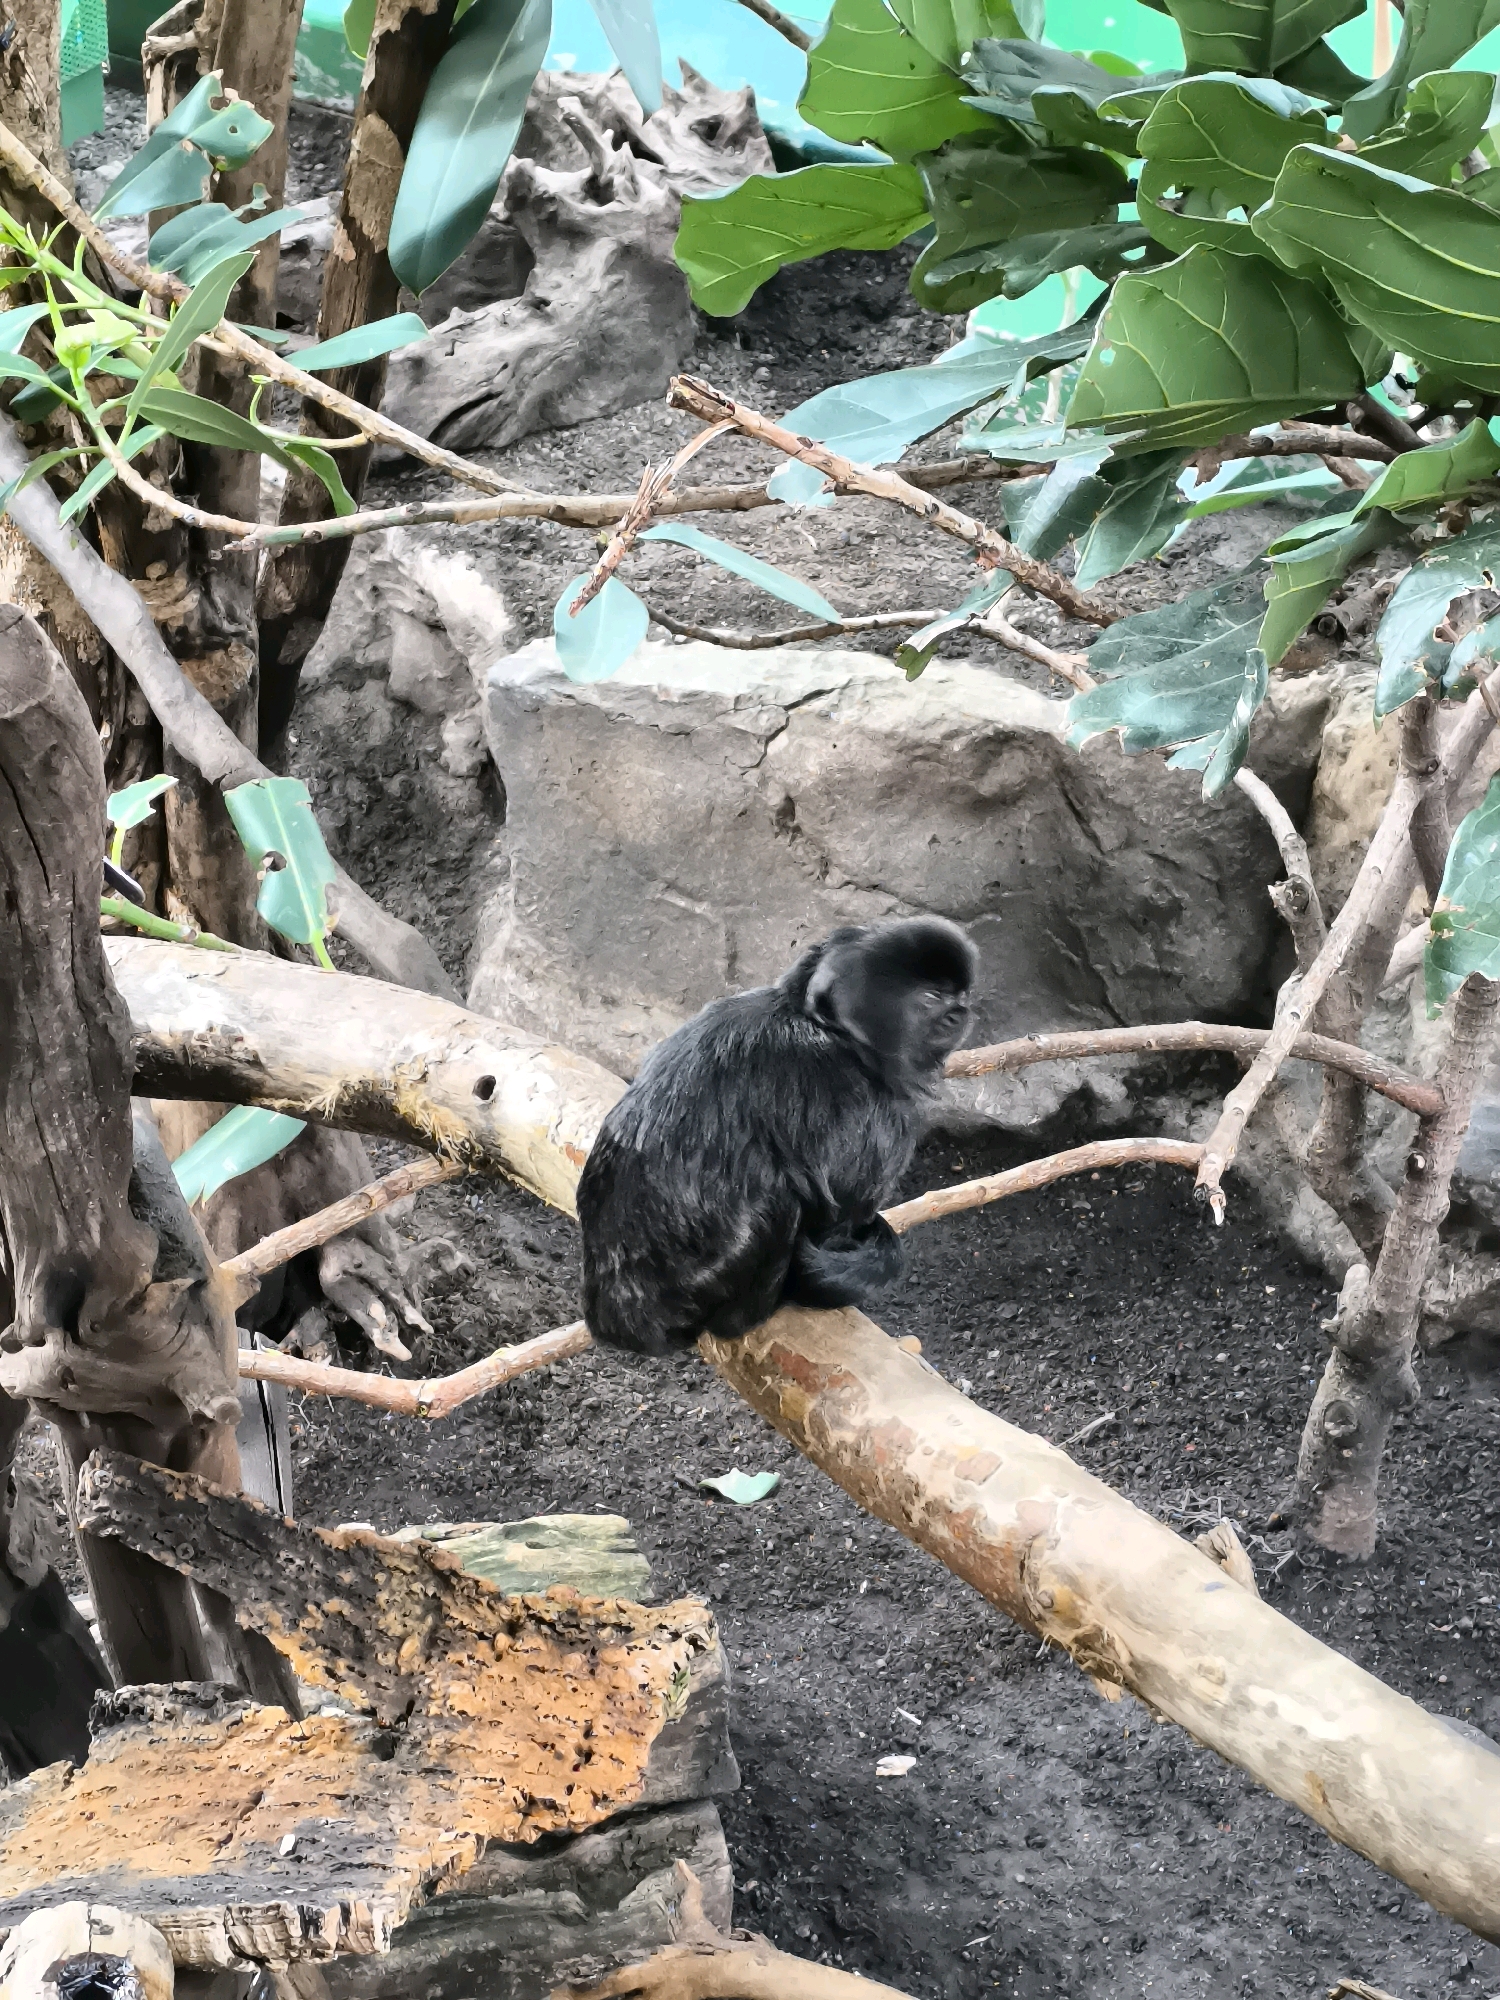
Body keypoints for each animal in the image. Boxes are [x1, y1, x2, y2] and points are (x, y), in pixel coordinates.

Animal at [576, 916, 977, 1358]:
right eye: (932, 999)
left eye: (960, 994)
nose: (960, 1011)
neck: (826, 1027)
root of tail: (614, 1316)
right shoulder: (872, 1110)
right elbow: (839, 1211)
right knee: (779, 1206)